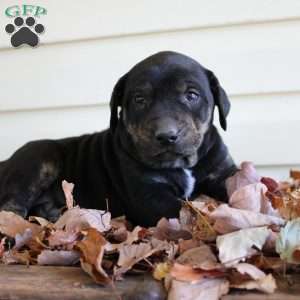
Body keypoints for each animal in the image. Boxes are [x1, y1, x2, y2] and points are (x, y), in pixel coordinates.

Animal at [0, 51, 237, 225]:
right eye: (139, 99)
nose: (166, 135)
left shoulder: (222, 172)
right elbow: (184, 209)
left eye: (192, 95)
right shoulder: (149, 194)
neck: (182, 165)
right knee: (11, 204)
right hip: (39, 157)